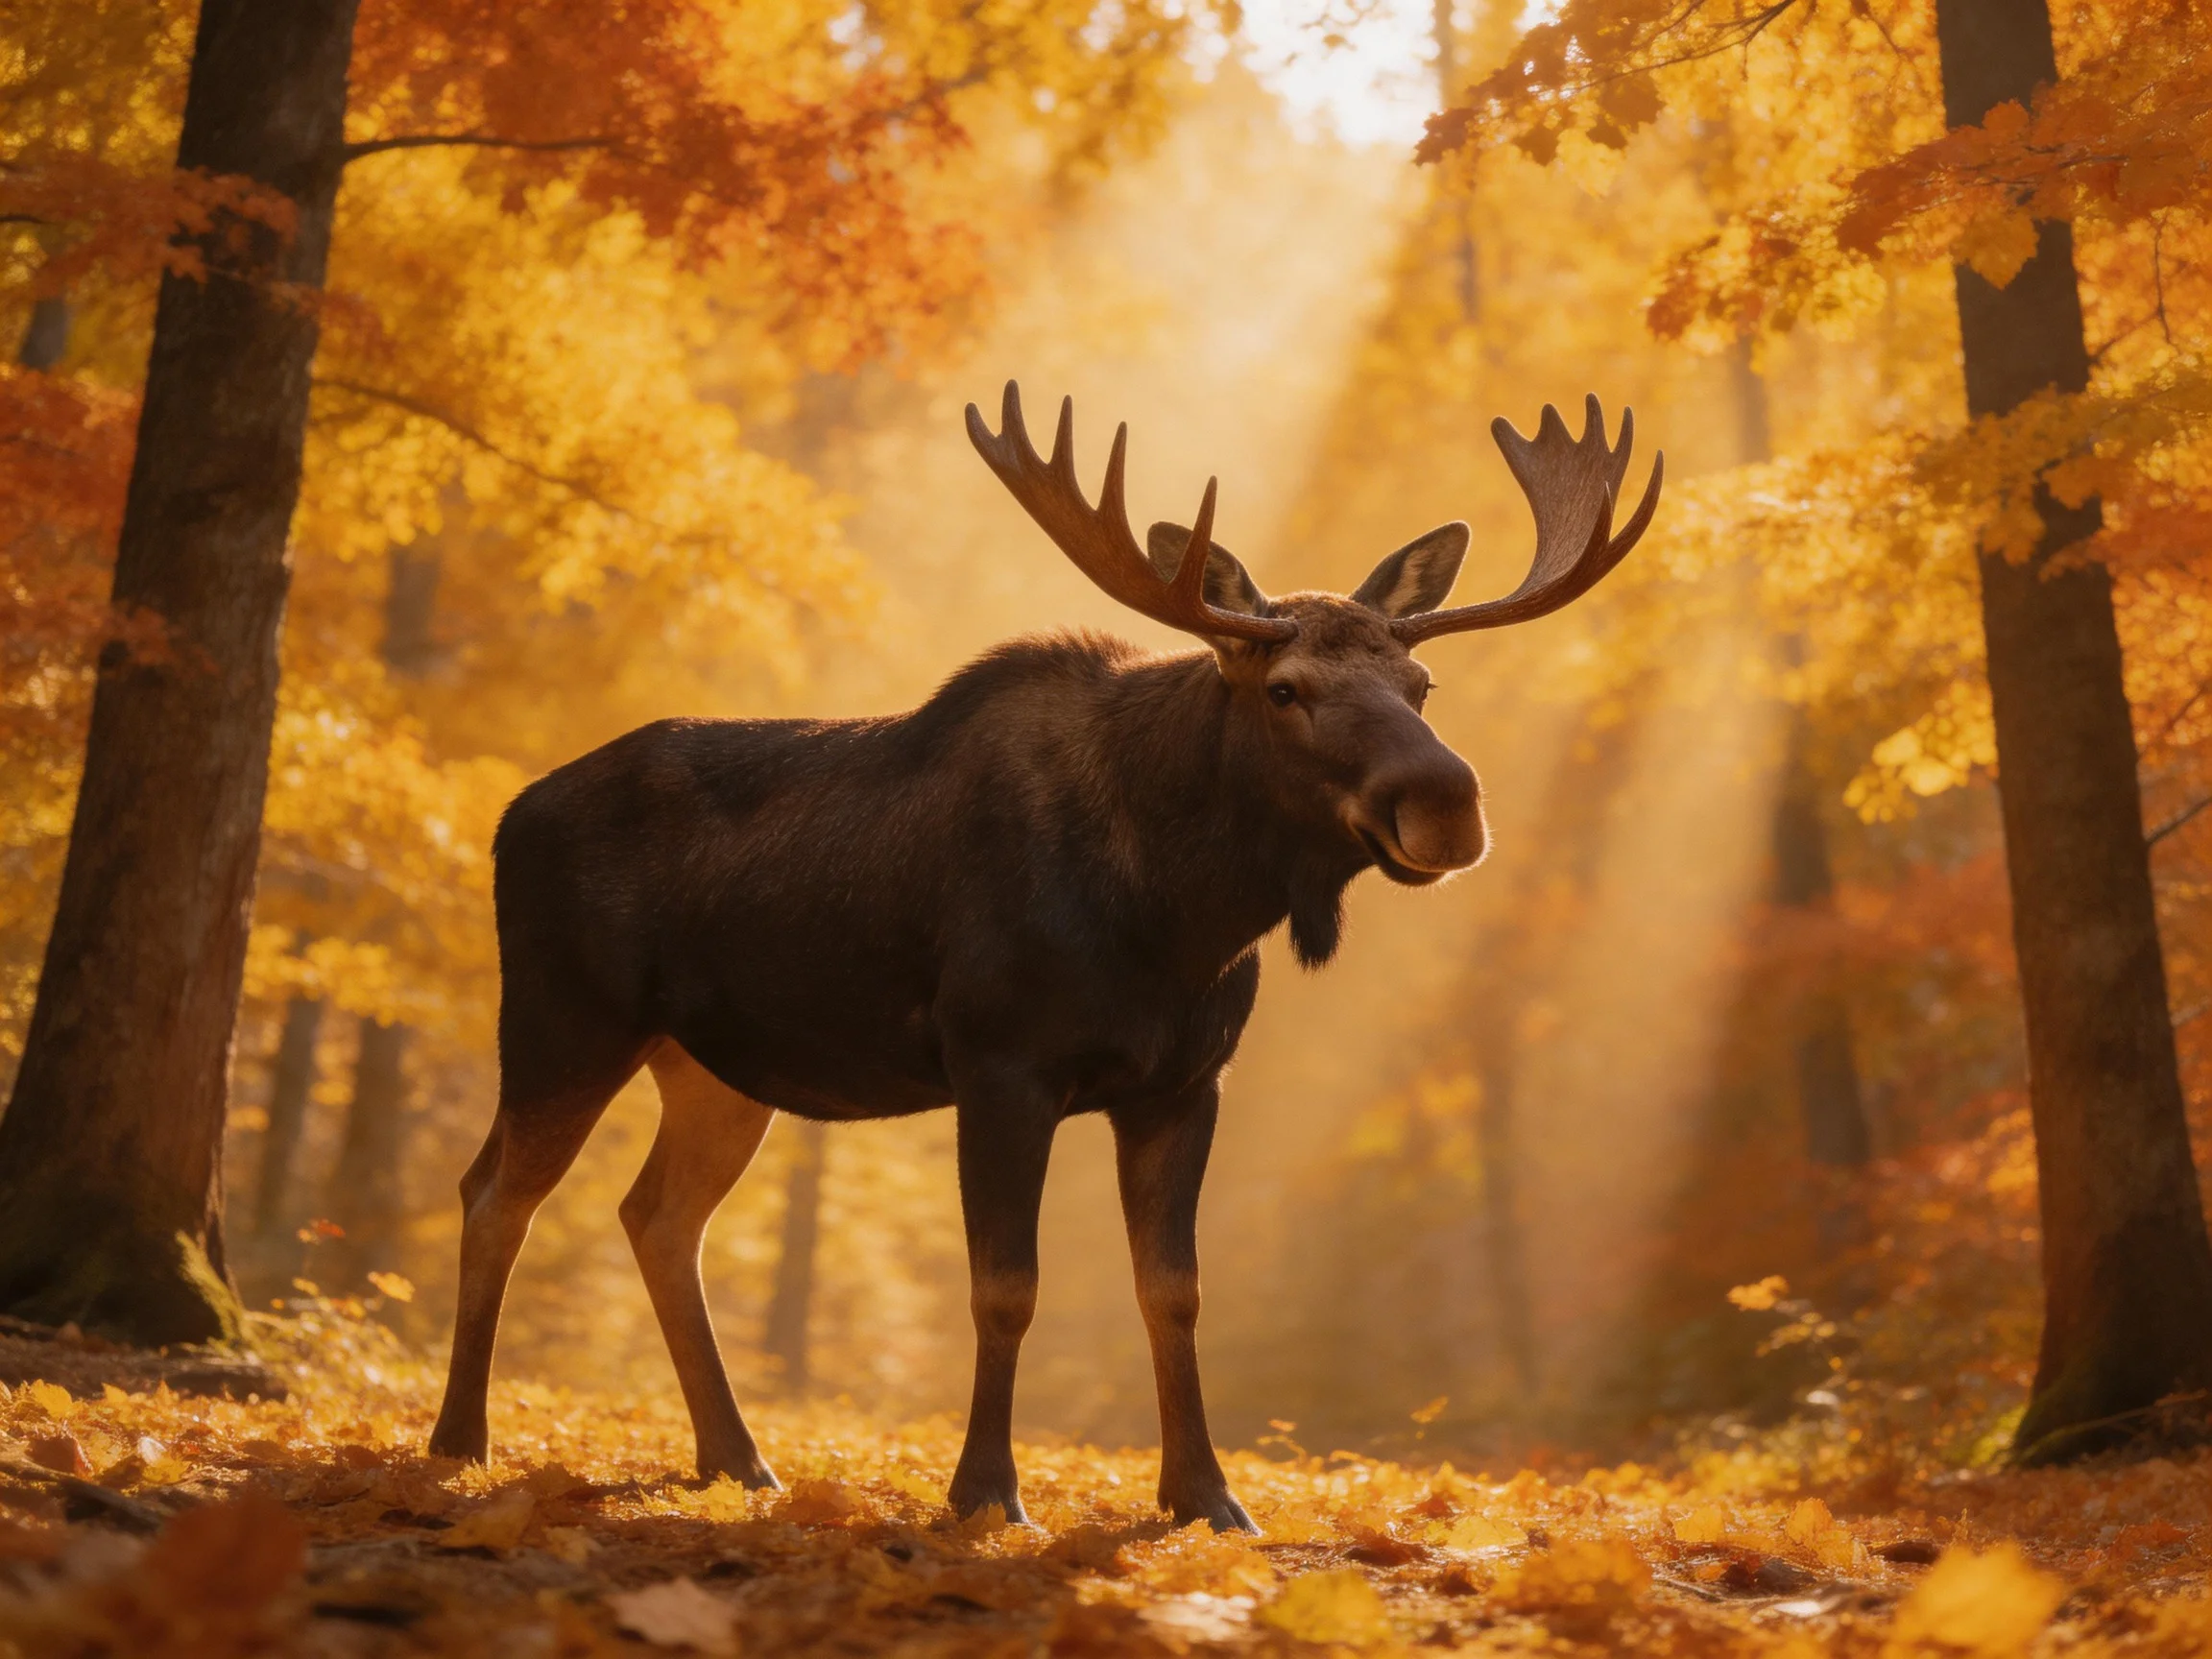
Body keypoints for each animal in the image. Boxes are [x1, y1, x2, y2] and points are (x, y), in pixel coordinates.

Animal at [426, 384, 1661, 1533]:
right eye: (1285, 689)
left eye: (1422, 688)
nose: (1446, 803)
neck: (1180, 917)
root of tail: (507, 817)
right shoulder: (998, 1061)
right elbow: (1005, 1286)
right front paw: (985, 1494)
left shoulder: (1185, 1082)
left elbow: (1175, 1290)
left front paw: (1206, 1497)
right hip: (562, 1016)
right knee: (495, 1191)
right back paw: (459, 1441)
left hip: (717, 1067)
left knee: (657, 1217)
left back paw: (736, 1459)